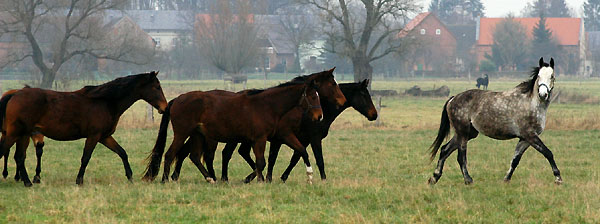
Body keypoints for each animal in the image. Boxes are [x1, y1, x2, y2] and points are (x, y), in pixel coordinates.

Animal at [0, 72, 169, 187]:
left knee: (19, 157)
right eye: (157, 87)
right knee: (7, 152)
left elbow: (122, 153)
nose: (165, 108)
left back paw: (28, 182)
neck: (105, 102)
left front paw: (130, 177)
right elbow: (86, 158)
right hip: (15, 134)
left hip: (24, 135)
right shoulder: (94, 136)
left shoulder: (104, 137)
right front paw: (79, 180)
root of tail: (15, 94)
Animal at [166, 70, 350, 184]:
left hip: (198, 135)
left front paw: (309, 176)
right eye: (312, 96)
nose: (319, 116)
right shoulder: (266, 138)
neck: (268, 106)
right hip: (185, 134)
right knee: (173, 154)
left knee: (195, 156)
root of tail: (177, 99)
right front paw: (262, 180)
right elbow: (263, 161)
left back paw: (211, 178)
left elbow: (298, 152)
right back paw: (166, 179)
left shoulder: (279, 137)